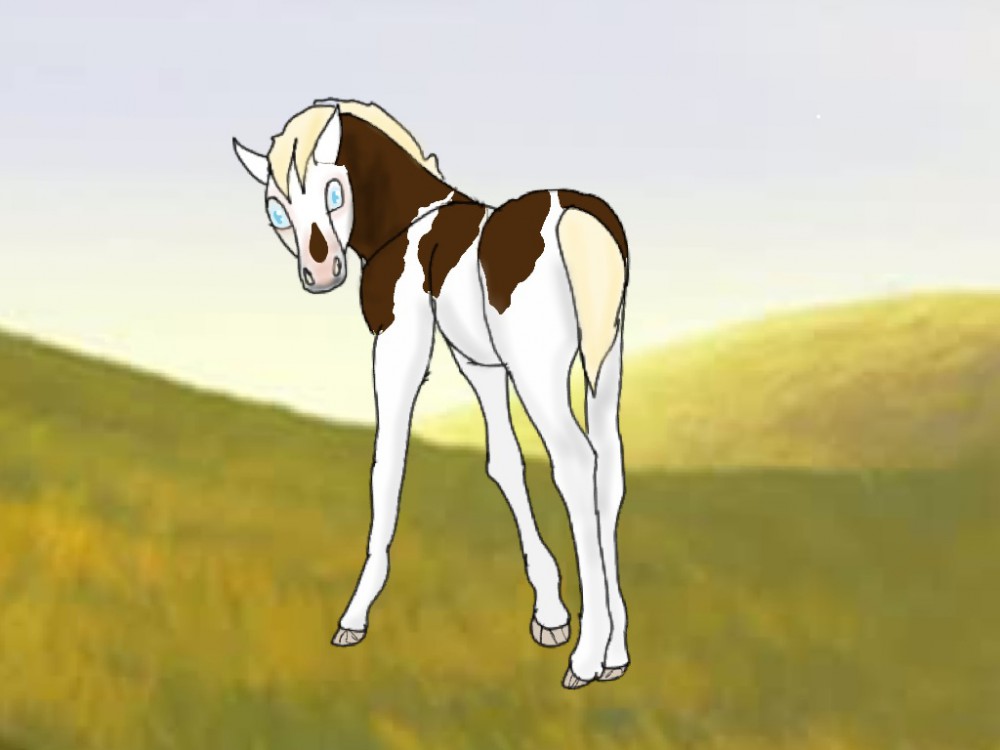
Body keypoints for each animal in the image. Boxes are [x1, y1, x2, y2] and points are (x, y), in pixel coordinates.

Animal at [231, 99, 630, 689]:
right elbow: (504, 464)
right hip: (605, 362)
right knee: (610, 471)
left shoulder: (398, 346)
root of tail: (570, 215)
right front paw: (550, 612)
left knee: (577, 464)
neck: (409, 220)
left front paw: (355, 614)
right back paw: (616, 653)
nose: (321, 273)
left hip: (541, 375)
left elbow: (387, 465)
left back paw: (586, 658)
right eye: (277, 213)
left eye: (334, 191)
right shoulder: (480, 364)